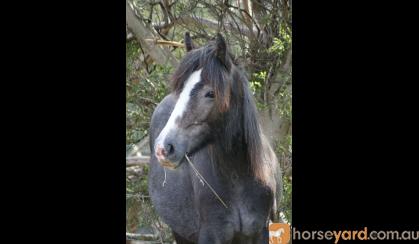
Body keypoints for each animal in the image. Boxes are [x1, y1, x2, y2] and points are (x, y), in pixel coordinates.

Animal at [149, 33, 284, 244]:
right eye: (181, 89)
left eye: (210, 93)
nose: (164, 148)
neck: (238, 176)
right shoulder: (211, 235)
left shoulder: (261, 231)